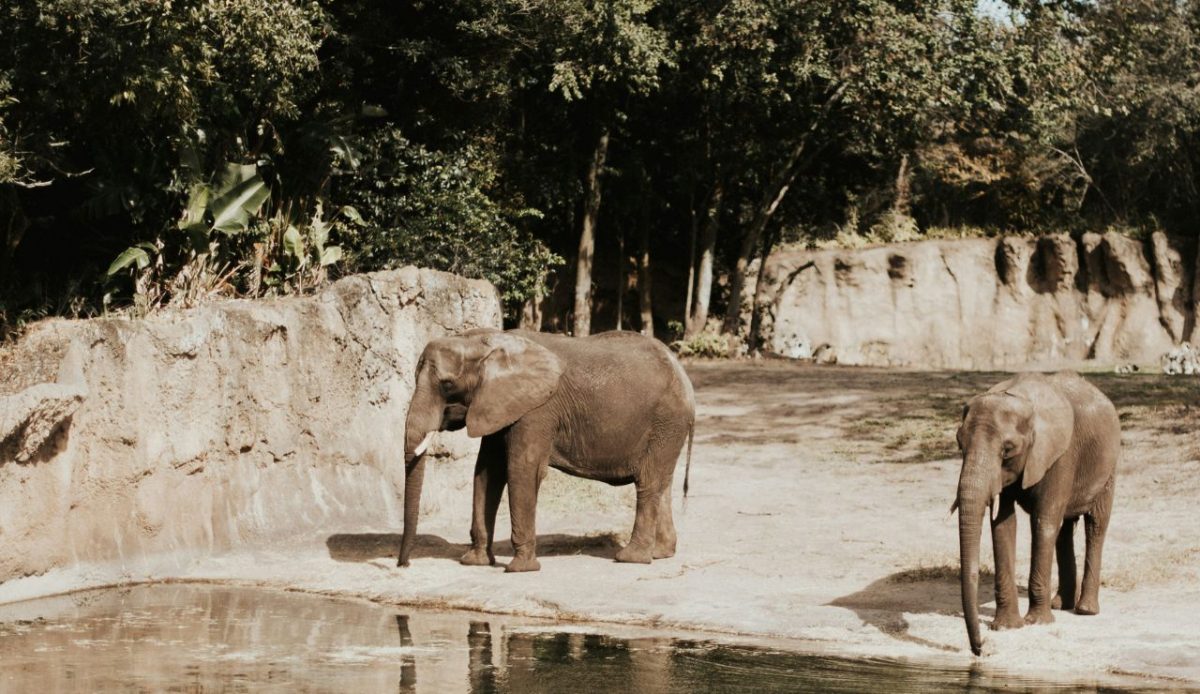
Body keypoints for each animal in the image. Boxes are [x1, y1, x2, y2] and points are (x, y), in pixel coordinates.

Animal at [399, 328, 695, 572]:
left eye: (447, 384)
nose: (404, 565)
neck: (482, 340)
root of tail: (684, 375)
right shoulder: (498, 405)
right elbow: (487, 473)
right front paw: (475, 562)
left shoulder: (536, 410)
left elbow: (522, 470)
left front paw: (520, 569)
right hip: (667, 428)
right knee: (662, 483)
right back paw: (661, 553)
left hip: (665, 421)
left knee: (648, 483)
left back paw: (630, 558)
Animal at [953, 371, 1119, 655]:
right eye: (959, 443)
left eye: (1007, 449)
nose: (981, 649)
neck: (1020, 399)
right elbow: (1003, 525)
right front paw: (1007, 627)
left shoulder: (1059, 455)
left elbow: (1043, 521)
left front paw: (1037, 622)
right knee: (1064, 529)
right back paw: (1060, 605)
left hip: (1109, 465)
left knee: (1095, 525)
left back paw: (1085, 610)